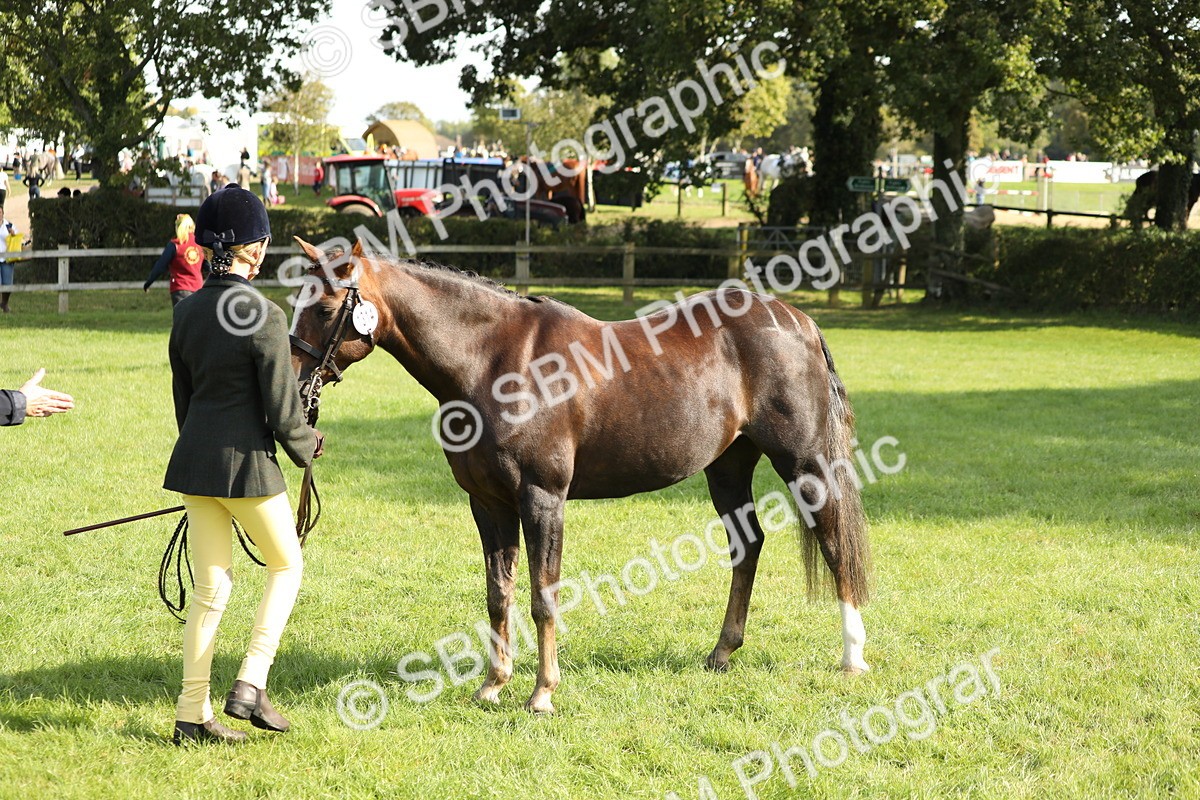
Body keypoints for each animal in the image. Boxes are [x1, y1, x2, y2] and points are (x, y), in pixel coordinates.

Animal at [288, 237, 872, 713]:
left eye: (324, 307)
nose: (296, 389)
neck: (492, 362)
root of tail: (798, 320)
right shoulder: (488, 503)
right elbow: (498, 593)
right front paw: (493, 684)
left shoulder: (542, 499)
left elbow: (543, 595)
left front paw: (542, 693)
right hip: (727, 469)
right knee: (746, 547)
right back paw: (722, 652)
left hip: (804, 463)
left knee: (834, 543)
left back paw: (852, 658)